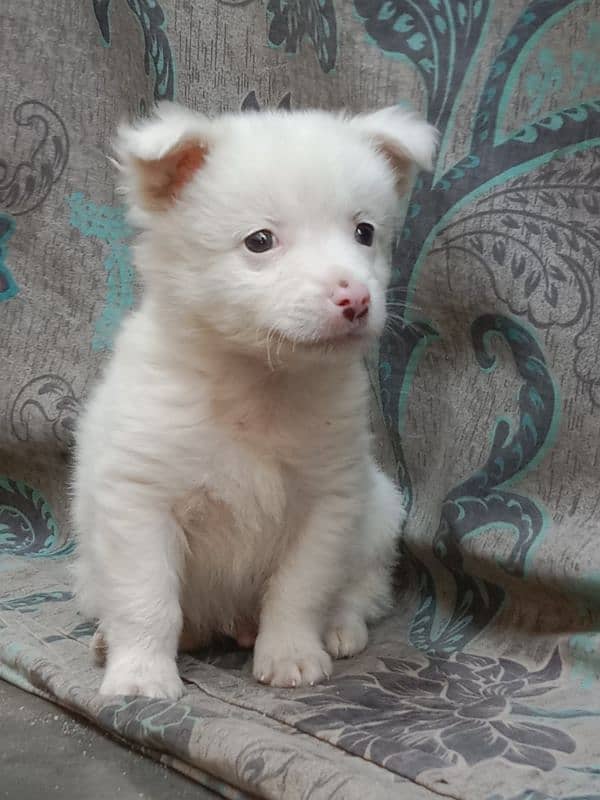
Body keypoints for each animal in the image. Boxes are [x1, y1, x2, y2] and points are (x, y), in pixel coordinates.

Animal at [72, 103, 436, 696]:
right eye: (259, 241)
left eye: (364, 232)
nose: (357, 299)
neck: (257, 384)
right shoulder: (139, 501)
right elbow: (147, 599)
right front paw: (142, 675)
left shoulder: (328, 502)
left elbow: (300, 591)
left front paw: (291, 655)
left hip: (380, 513)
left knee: (361, 589)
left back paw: (340, 627)